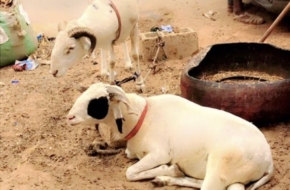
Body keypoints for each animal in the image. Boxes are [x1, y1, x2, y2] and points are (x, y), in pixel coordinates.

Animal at [67, 83, 274, 190]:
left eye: (98, 101)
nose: (69, 117)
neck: (143, 116)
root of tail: (269, 161)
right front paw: (170, 171)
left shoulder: (160, 153)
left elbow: (130, 172)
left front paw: (167, 169)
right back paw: (165, 179)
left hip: (221, 166)